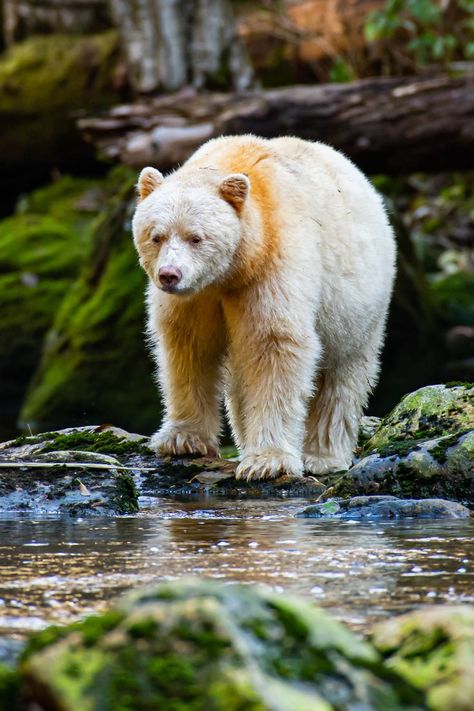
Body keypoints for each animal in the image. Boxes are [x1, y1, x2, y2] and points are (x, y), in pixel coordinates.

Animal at [131, 136, 394, 482]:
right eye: (156, 236)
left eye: (196, 238)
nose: (169, 275)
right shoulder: (196, 298)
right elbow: (189, 346)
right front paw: (182, 440)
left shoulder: (271, 266)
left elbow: (274, 344)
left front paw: (268, 461)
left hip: (357, 303)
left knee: (342, 374)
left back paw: (322, 455)